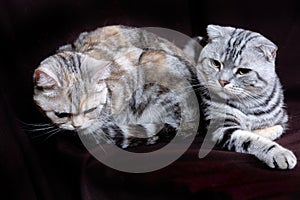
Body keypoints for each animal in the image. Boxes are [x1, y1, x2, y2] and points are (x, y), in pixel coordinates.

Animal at [185, 24, 298, 170]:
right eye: (216, 63)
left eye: (243, 71)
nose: (223, 81)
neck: (247, 104)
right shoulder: (222, 126)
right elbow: (251, 138)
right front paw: (279, 153)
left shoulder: (282, 118)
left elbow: (276, 128)